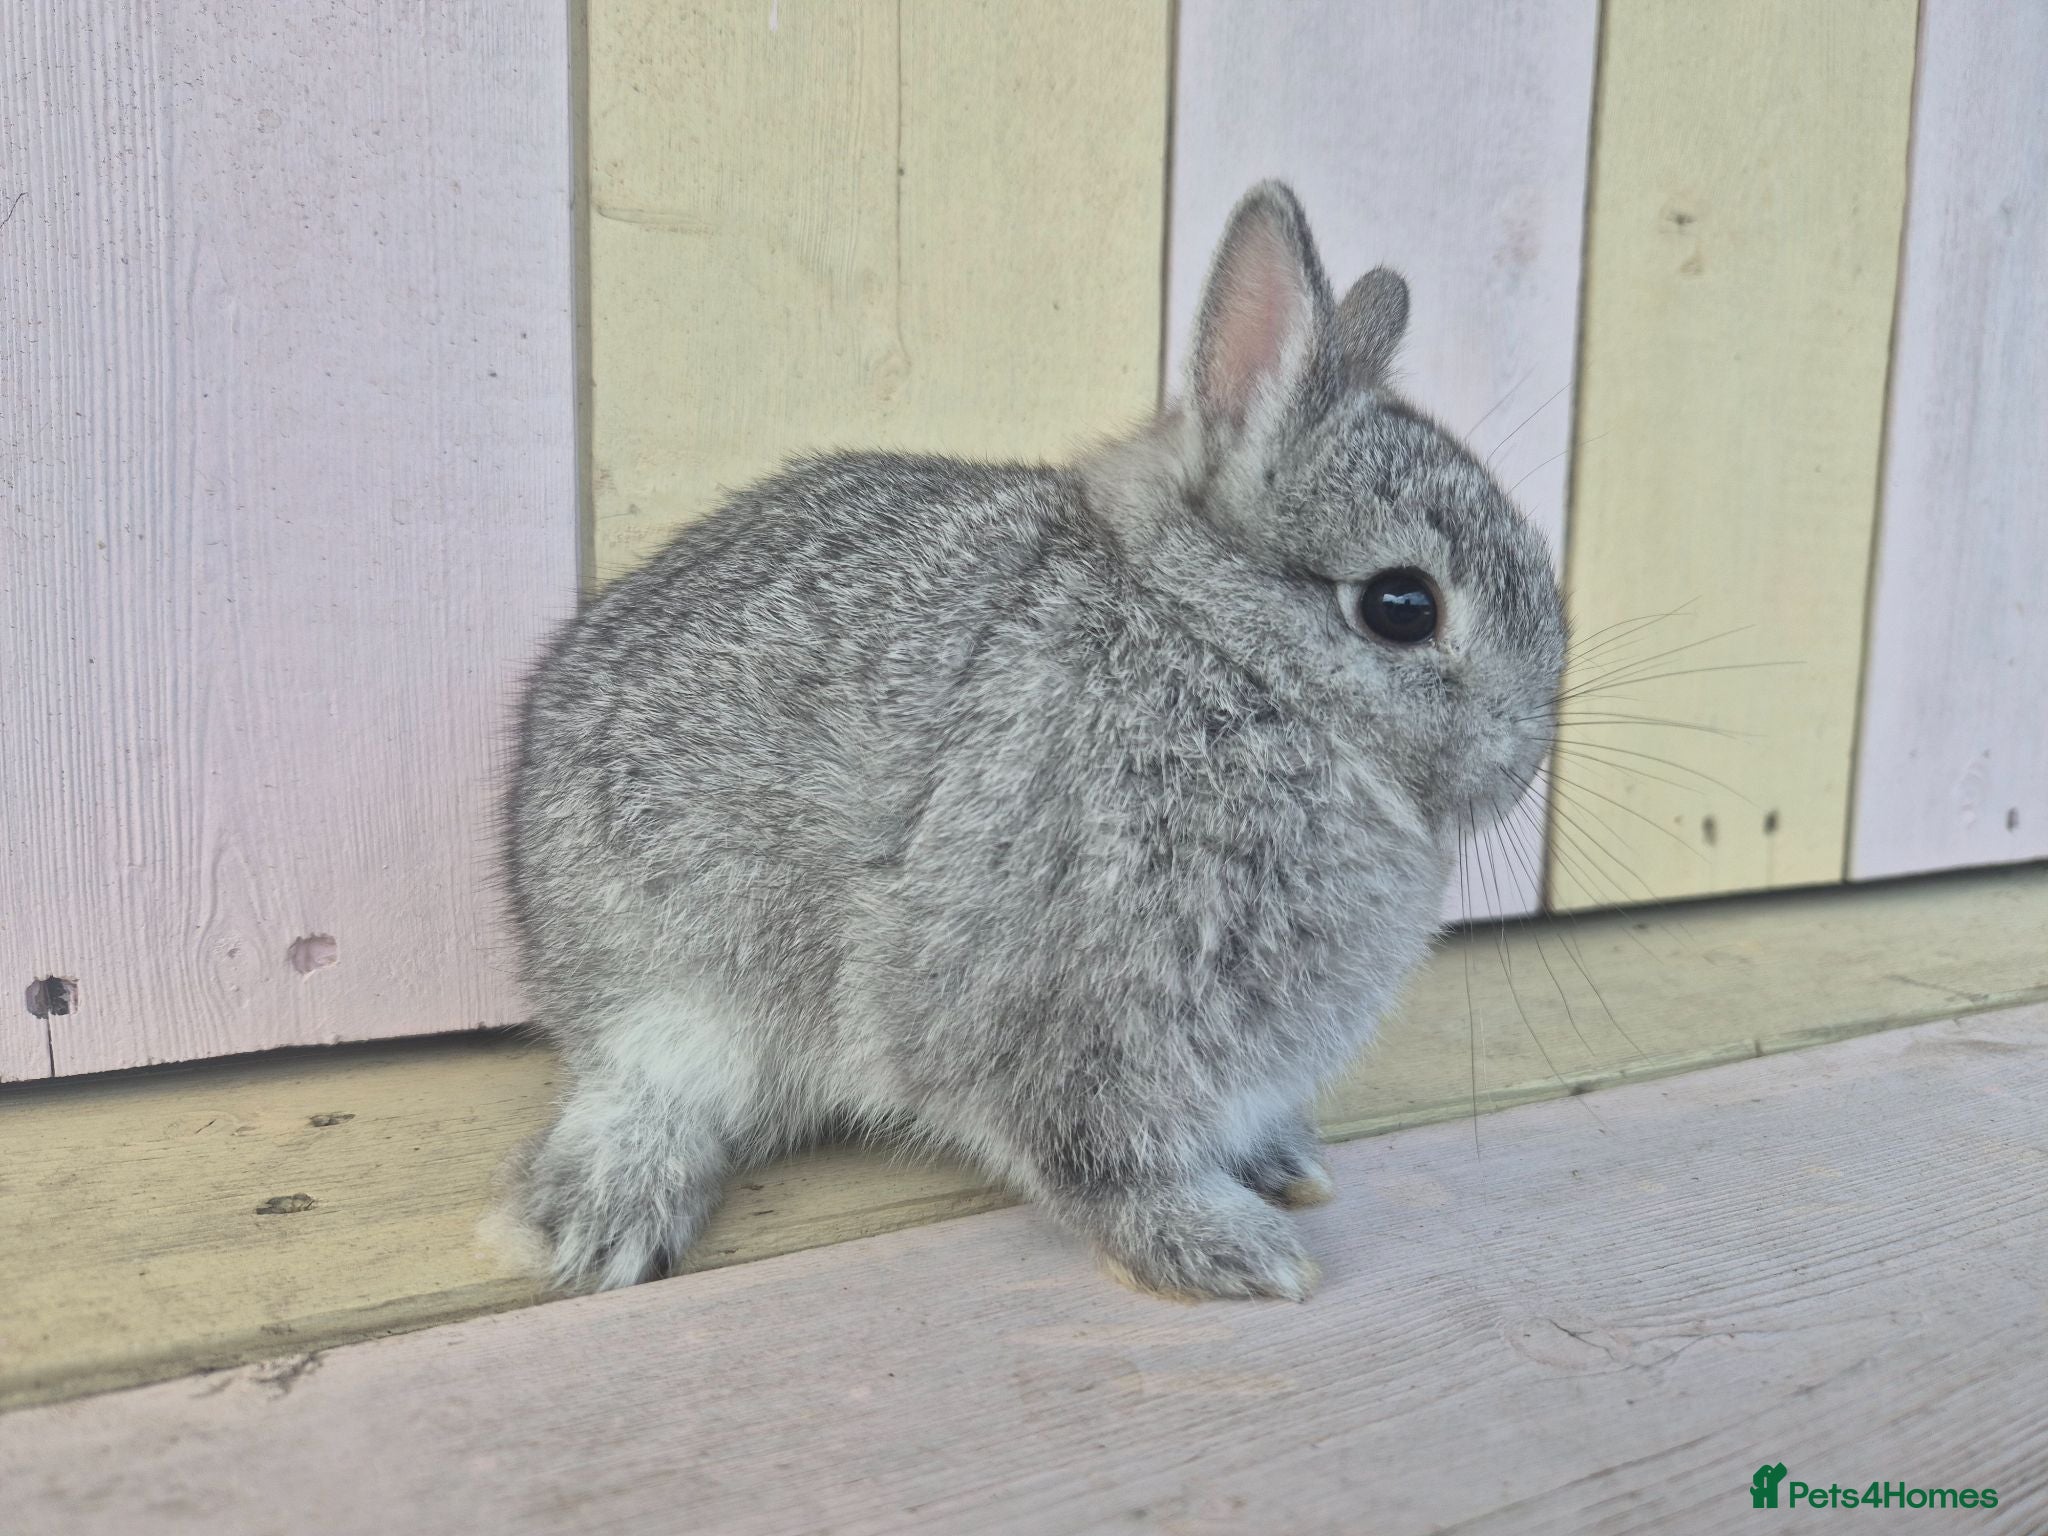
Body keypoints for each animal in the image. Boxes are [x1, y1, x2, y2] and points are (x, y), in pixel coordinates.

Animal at [504, 181, 1565, 1301]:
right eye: (1401, 606)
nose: (1523, 760)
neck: (1223, 657)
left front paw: (1277, 1167)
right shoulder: (1063, 1008)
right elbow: (1094, 1156)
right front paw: (1230, 1250)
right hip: (672, 978)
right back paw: (611, 1221)